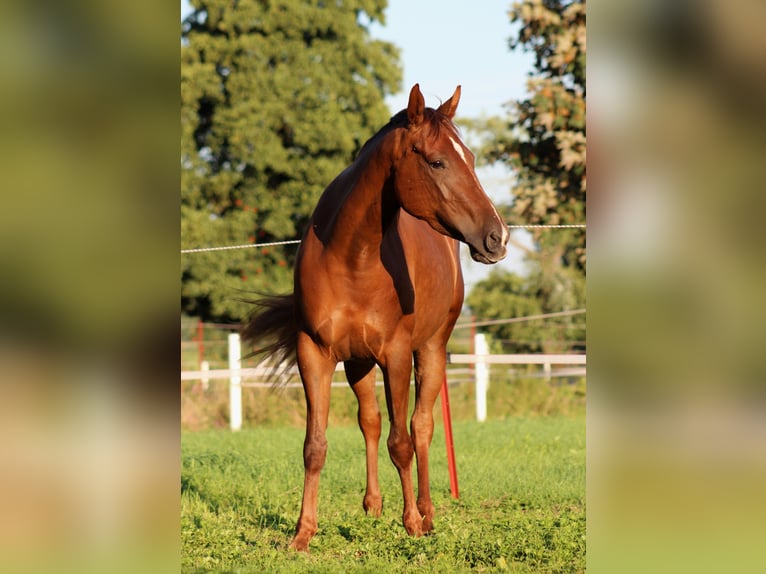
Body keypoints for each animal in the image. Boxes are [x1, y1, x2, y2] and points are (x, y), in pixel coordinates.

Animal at [242, 84, 508, 551]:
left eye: (473, 159)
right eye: (437, 161)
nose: (497, 237)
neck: (352, 256)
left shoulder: (397, 355)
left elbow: (402, 442)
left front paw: (413, 524)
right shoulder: (314, 353)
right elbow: (316, 445)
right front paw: (302, 534)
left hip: (430, 349)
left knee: (421, 426)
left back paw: (427, 511)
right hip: (357, 363)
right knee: (369, 421)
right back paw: (373, 504)